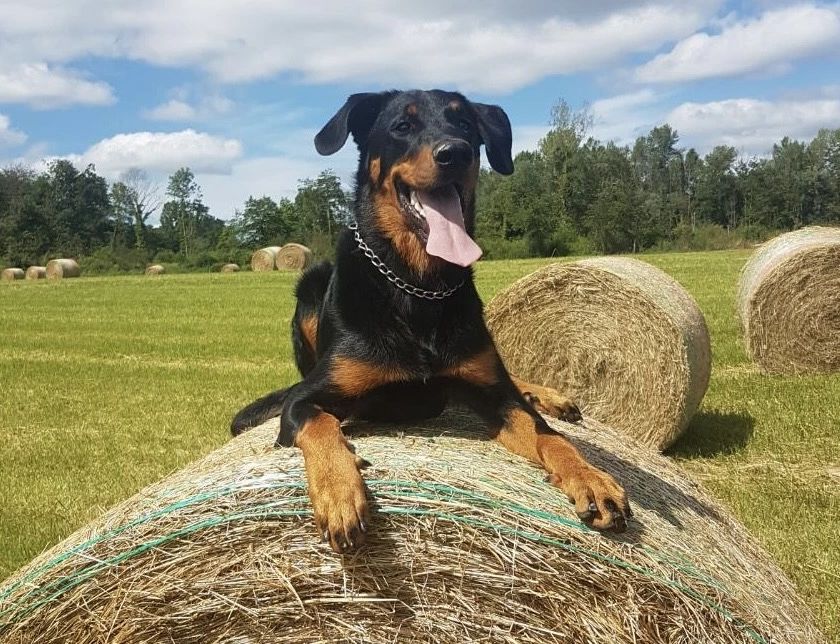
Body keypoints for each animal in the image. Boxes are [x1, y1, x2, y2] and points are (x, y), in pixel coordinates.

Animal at [231, 90, 632, 552]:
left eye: (466, 126)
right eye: (402, 127)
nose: (454, 153)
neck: (416, 286)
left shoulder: (497, 397)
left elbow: (548, 435)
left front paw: (590, 477)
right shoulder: (304, 400)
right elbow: (319, 424)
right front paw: (339, 492)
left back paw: (546, 395)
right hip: (311, 284)